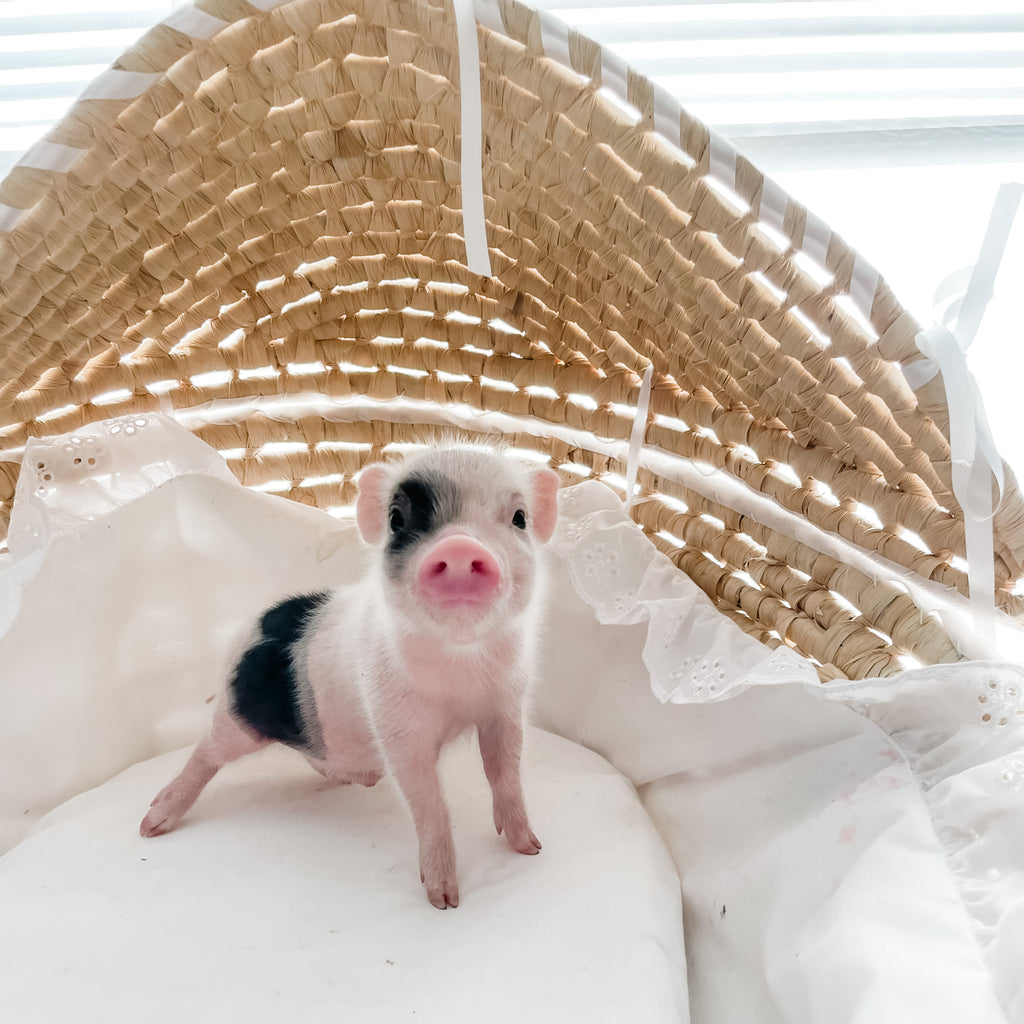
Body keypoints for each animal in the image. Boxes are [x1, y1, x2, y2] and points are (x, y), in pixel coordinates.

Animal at [140, 445, 560, 909]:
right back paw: (151, 823)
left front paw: (530, 847)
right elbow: (428, 799)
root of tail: (251, 630)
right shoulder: (396, 724)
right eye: (397, 518)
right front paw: (445, 901)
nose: (461, 545)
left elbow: (506, 771)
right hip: (241, 719)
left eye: (519, 518)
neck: (461, 666)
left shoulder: (505, 707)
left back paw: (358, 779)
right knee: (206, 752)